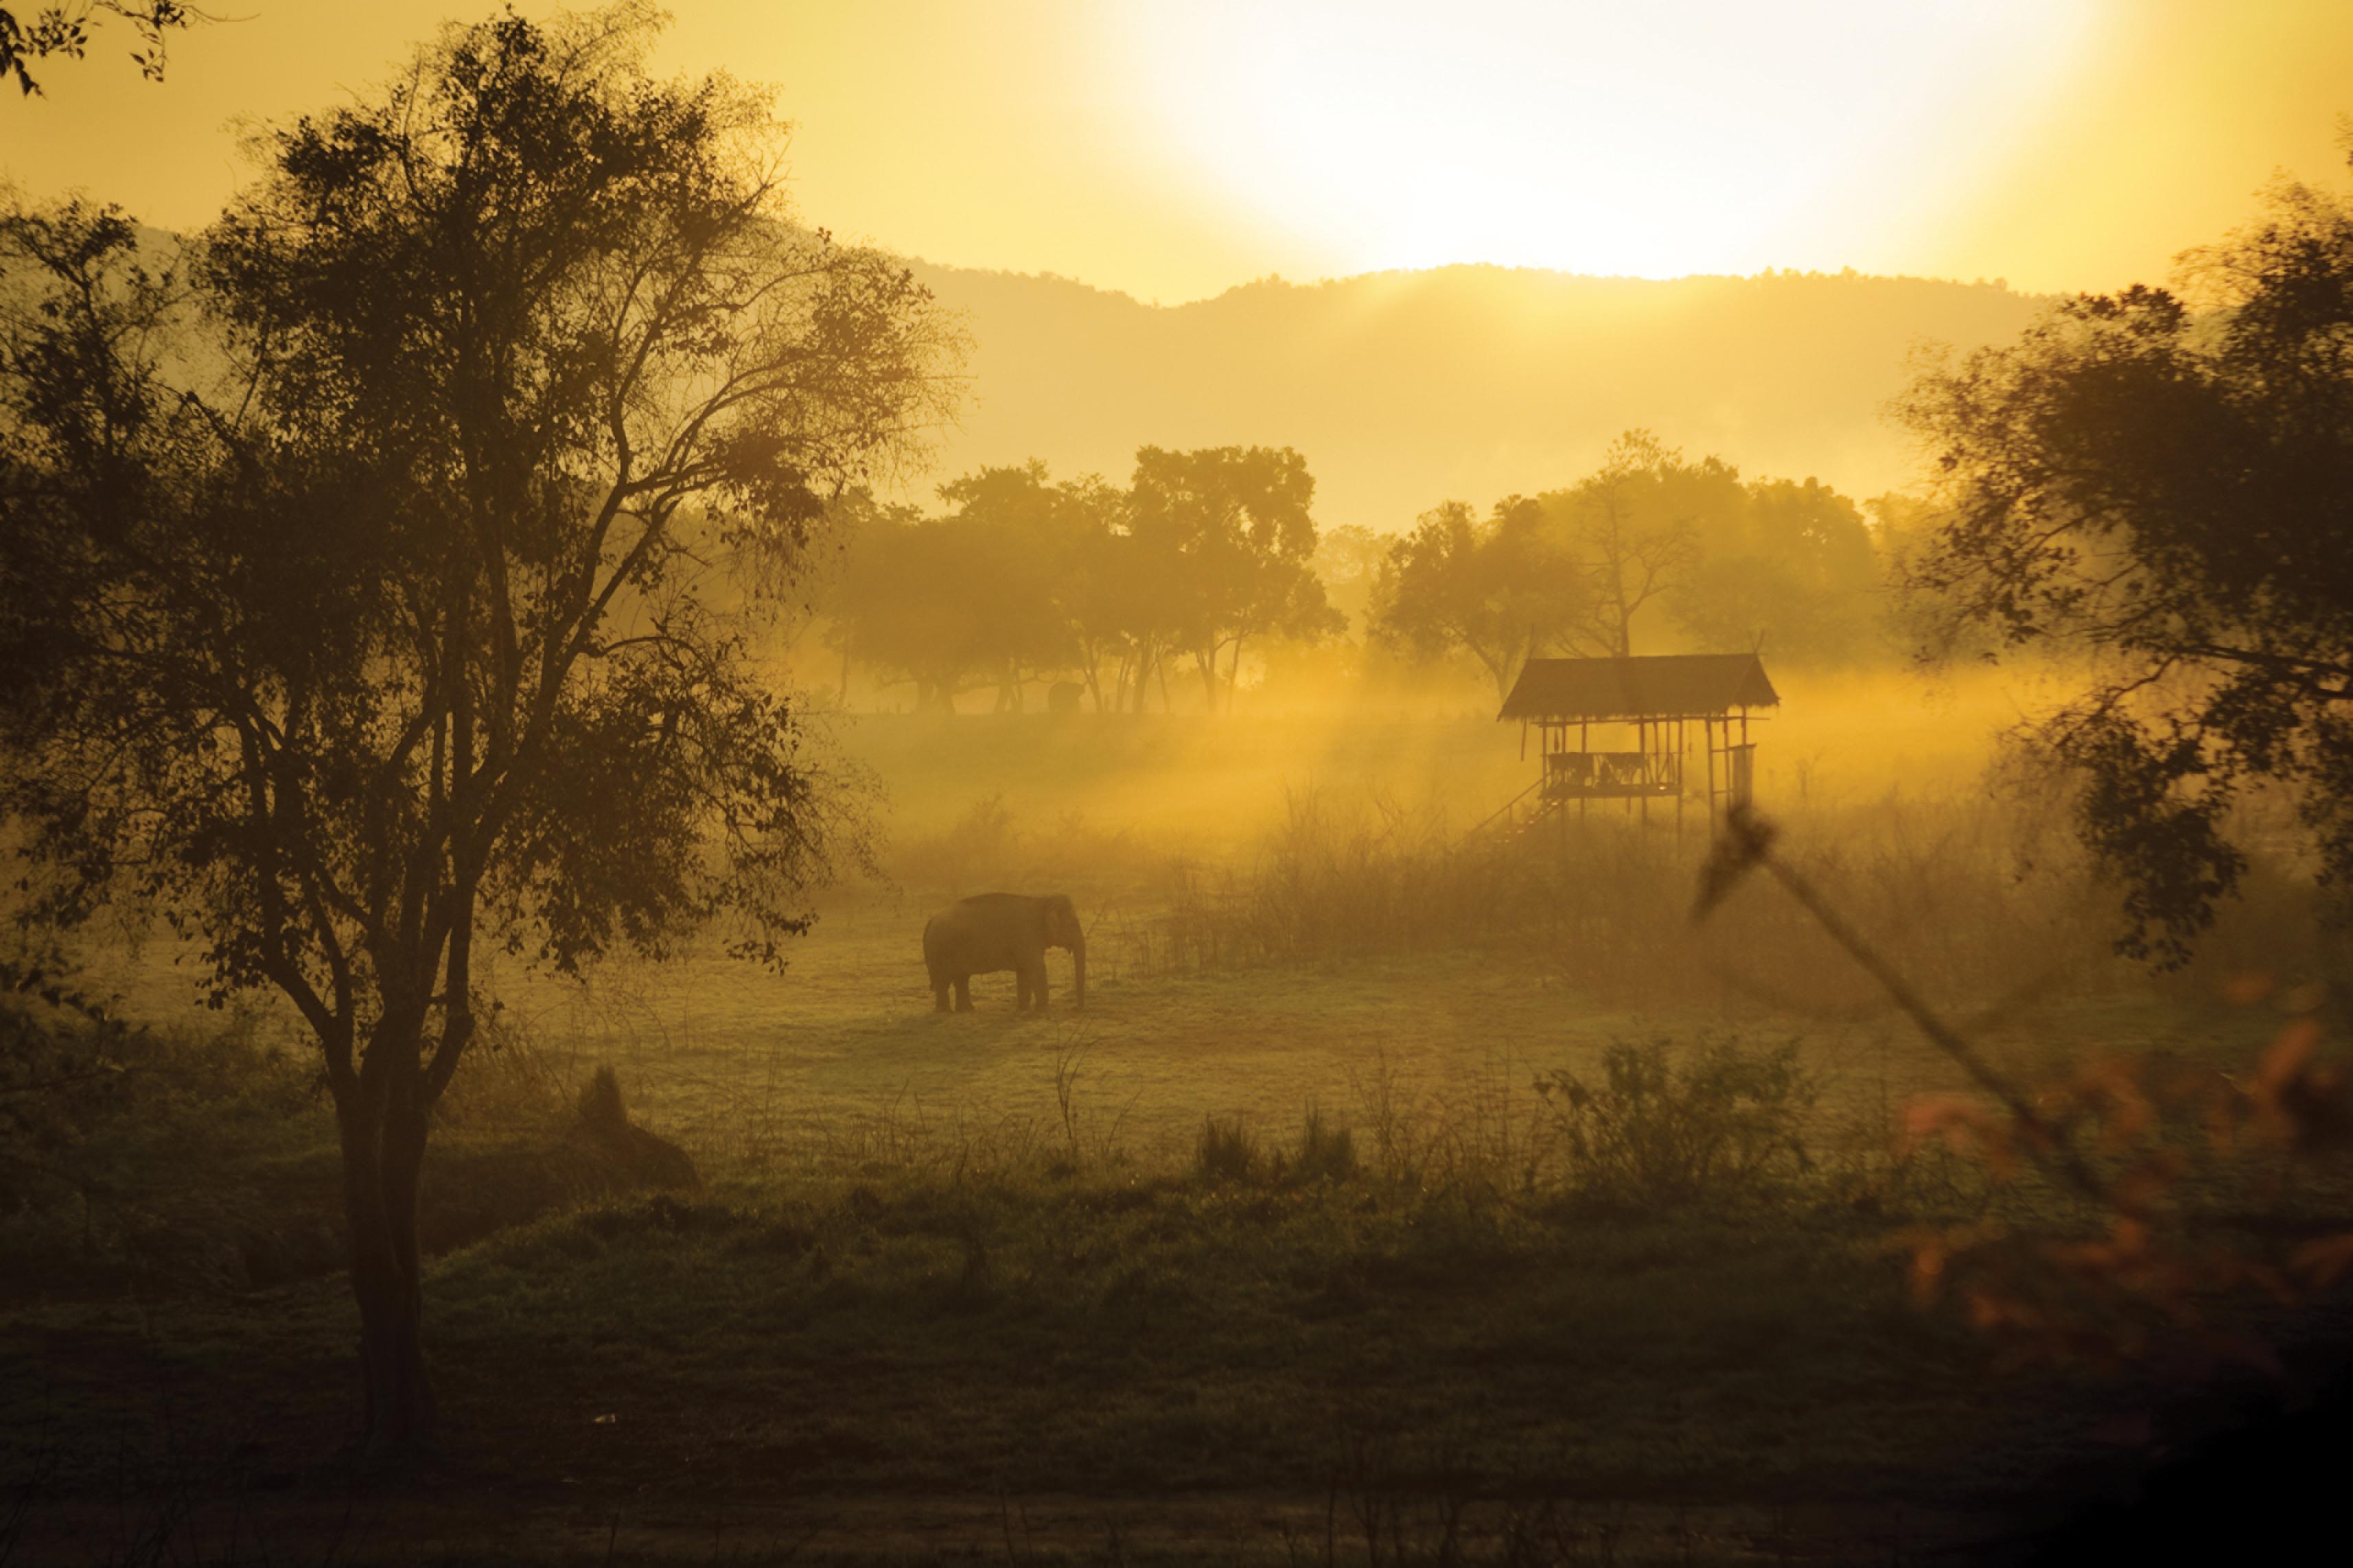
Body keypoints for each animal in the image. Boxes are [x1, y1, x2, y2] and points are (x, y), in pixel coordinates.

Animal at [927, 893, 1091, 1020]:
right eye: (1072, 924)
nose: (1076, 1009)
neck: (1041, 901)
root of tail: (931, 920)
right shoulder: (1027, 937)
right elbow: (1037, 968)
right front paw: (1043, 1011)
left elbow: (1024, 972)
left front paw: (1023, 1010)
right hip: (941, 951)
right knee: (944, 982)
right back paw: (945, 1012)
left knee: (962, 979)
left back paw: (967, 1010)